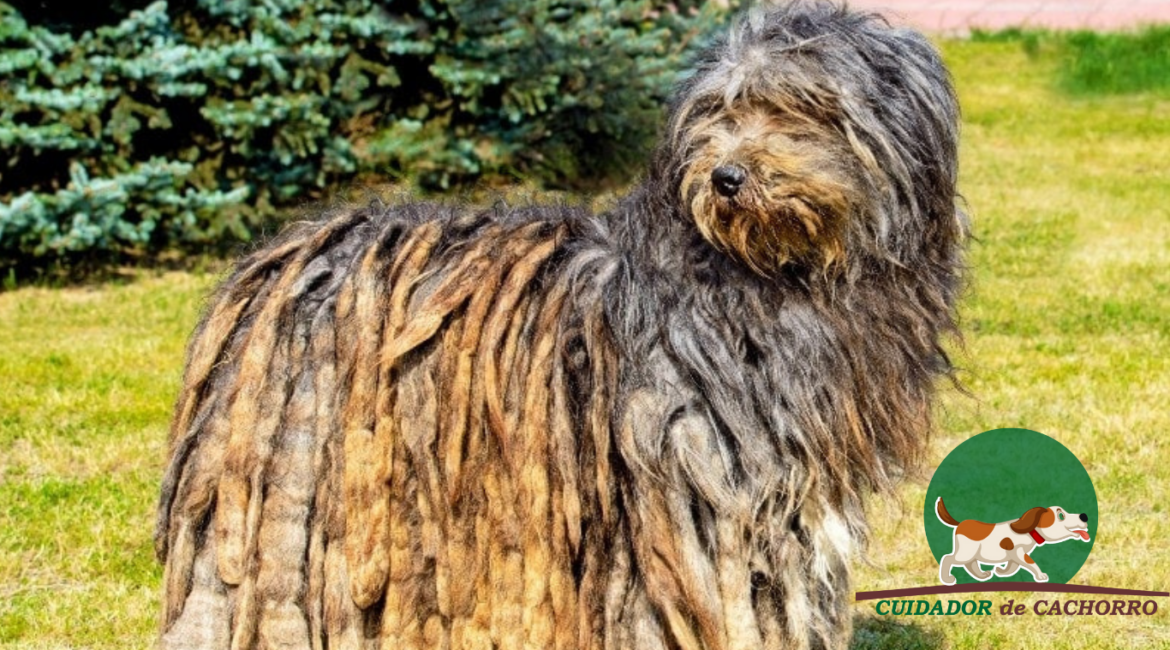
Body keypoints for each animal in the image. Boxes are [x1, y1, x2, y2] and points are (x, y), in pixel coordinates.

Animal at [153, 2, 959, 645]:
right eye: (719, 113)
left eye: (800, 106)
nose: (726, 177)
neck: (770, 276)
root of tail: (283, 258)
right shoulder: (684, 482)